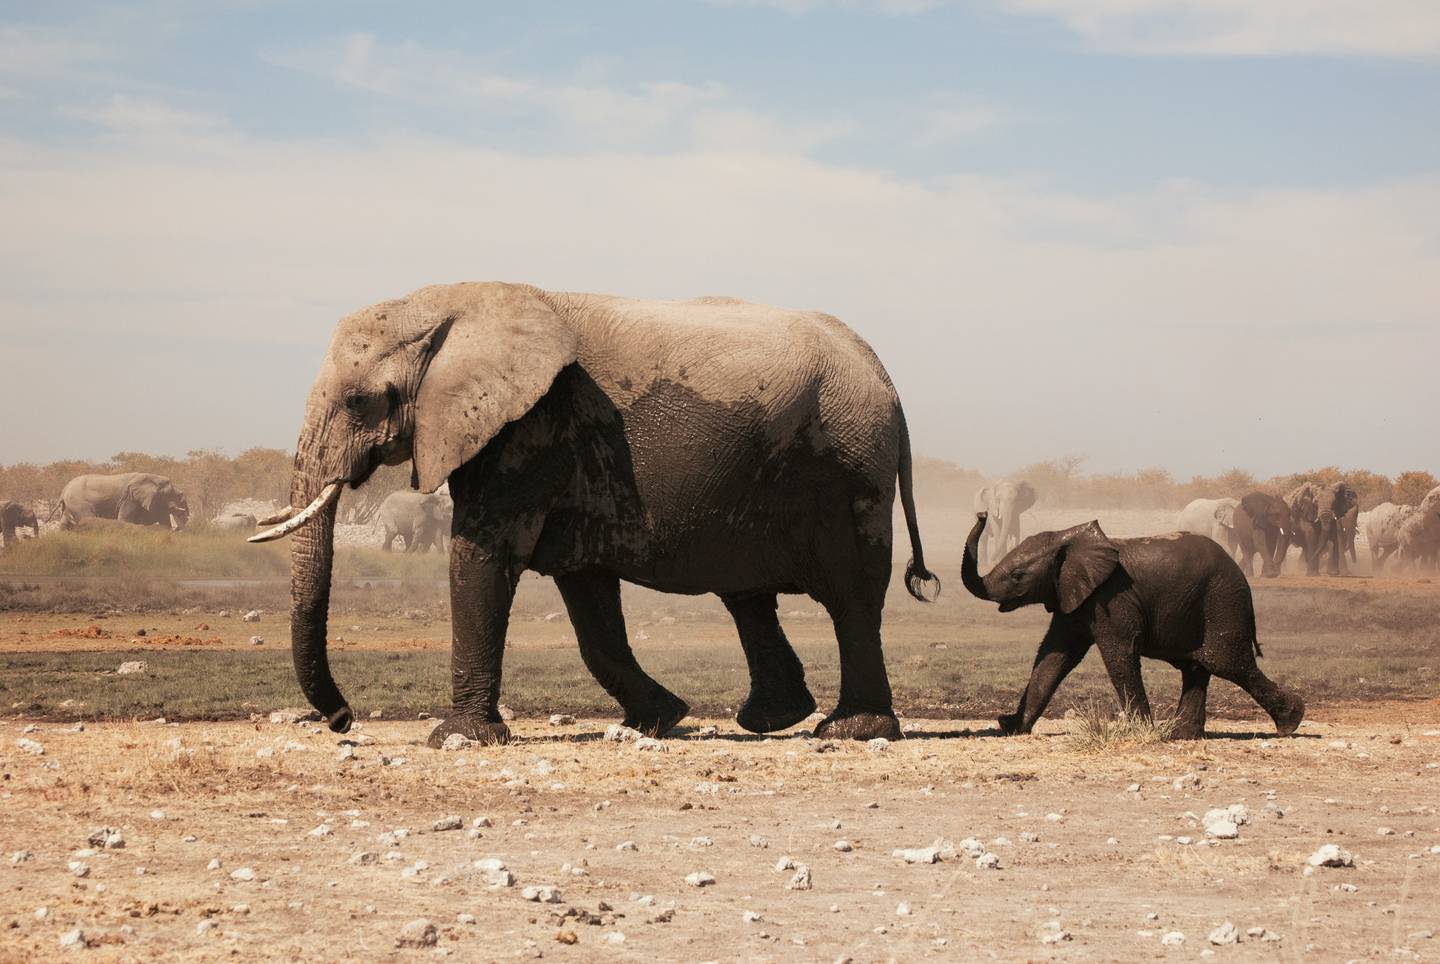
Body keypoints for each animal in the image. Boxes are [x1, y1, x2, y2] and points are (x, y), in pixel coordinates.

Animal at [54, 472, 190, 530]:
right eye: (178, 495)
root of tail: (63, 491)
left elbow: (164, 521)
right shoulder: (130, 499)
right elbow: (125, 519)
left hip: (69, 506)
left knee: (64, 524)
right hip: (79, 503)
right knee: (87, 518)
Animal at [252, 279, 938, 743]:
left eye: (359, 401)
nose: (342, 720)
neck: (454, 302)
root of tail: (884, 375)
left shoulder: (530, 429)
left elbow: (481, 557)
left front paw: (457, 740)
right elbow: (587, 600)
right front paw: (658, 721)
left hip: (848, 466)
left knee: (850, 597)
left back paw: (851, 731)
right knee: (747, 595)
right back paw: (772, 720)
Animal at [956, 510, 1307, 737]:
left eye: (1018, 576)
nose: (982, 513)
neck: (1067, 540)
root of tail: (1241, 575)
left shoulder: (1112, 598)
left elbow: (1118, 655)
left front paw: (1140, 732)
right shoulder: (1075, 599)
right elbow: (1053, 657)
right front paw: (1013, 727)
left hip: (1223, 599)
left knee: (1225, 662)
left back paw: (1291, 722)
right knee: (1197, 666)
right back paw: (1179, 735)